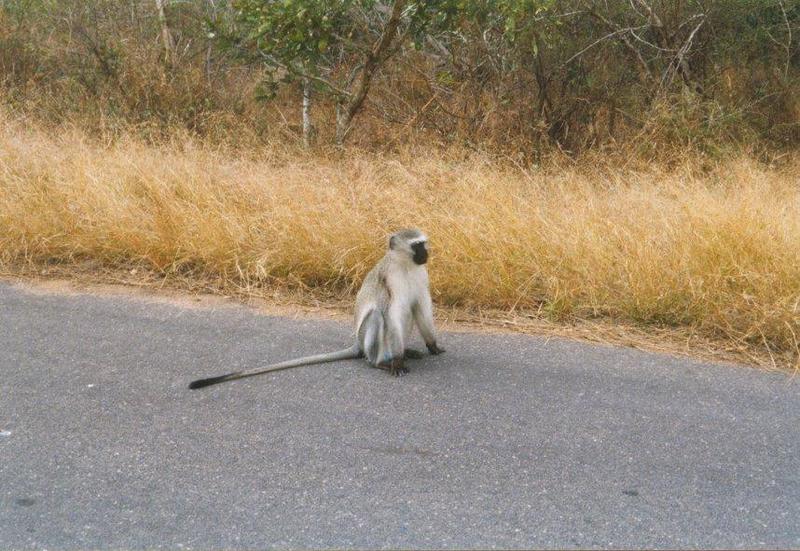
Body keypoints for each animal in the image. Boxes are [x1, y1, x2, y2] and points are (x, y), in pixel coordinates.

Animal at [191, 226, 446, 390]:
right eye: (416, 245)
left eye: (423, 244)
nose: (426, 253)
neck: (405, 266)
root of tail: (358, 345)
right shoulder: (388, 280)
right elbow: (389, 312)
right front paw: (397, 362)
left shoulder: (421, 275)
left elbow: (421, 306)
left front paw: (433, 346)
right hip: (368, 341)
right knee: (377, 317)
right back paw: (382, 362)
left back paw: (405, 352)